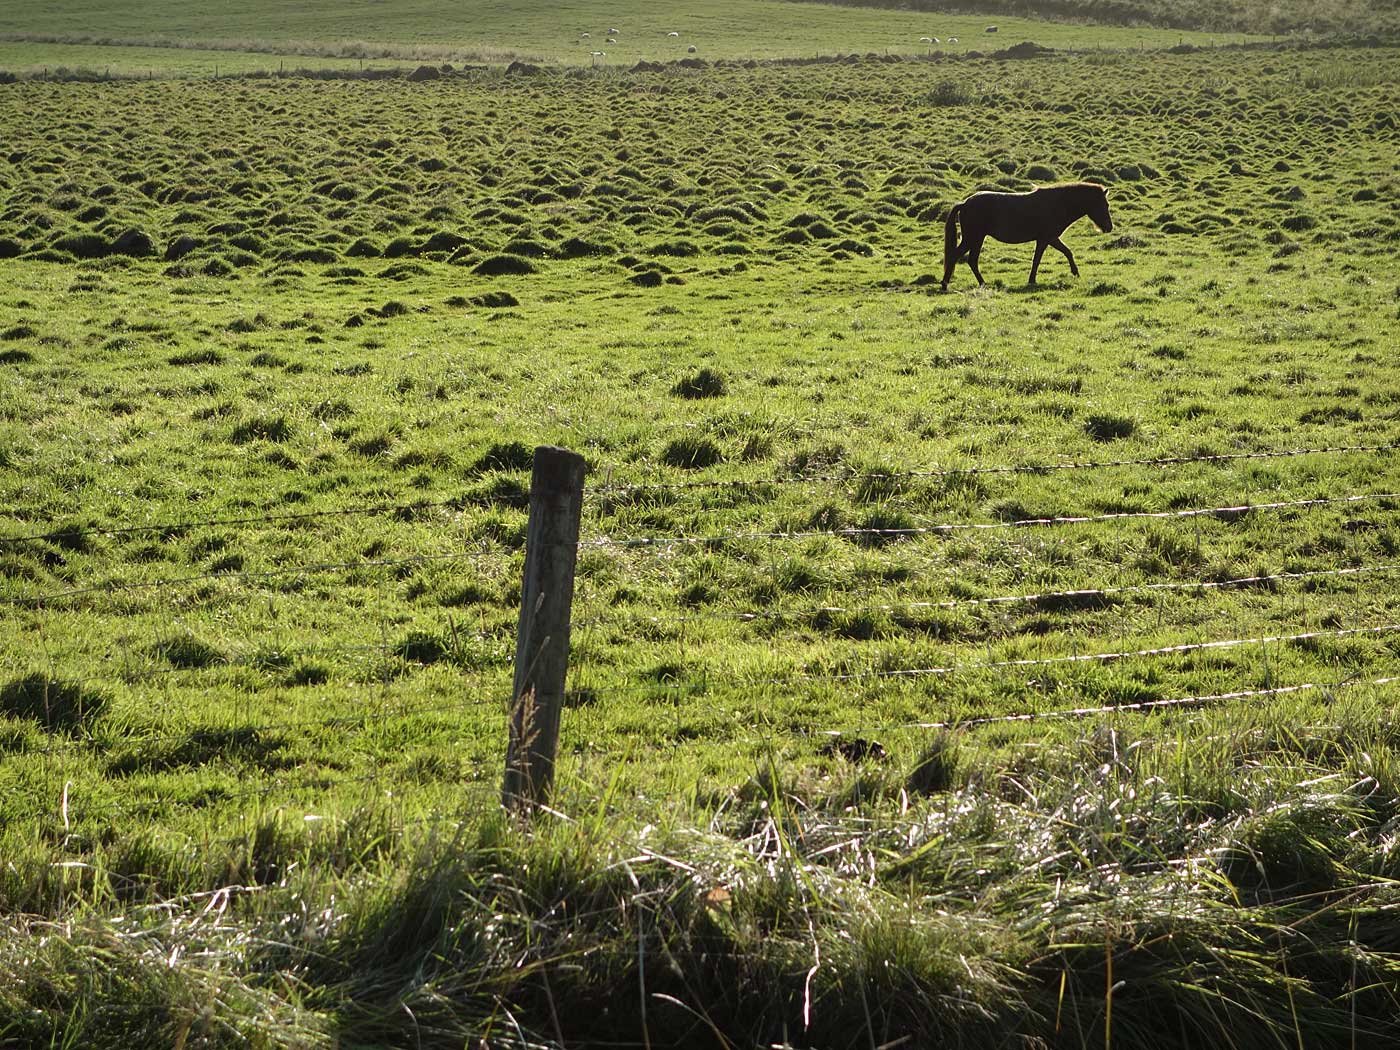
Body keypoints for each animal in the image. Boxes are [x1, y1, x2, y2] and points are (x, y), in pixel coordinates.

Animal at [940, 183, 1114, 292]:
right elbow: (1038, 259)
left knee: (971, 260)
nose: (1109, 227)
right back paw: (946, 284)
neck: (1058, 204)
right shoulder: (1046, 238)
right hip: (973, 238)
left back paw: (981, 283)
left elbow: (1066, 252)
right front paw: (1032, 280)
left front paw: (1075, 273)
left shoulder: (1050, 238)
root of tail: (965, 203)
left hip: (977, 239)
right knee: (958, 257)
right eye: (1104, 205)